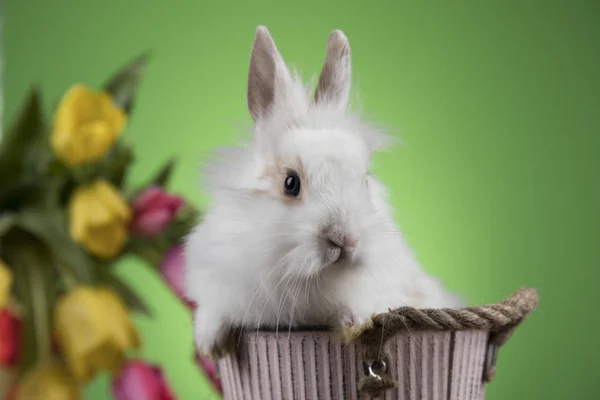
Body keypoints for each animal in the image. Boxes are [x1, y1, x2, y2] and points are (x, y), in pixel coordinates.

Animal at [185, 25, 462, 356]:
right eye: (290, 183)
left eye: (364, 180)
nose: (344, 239)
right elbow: (214, 310)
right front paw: (210, 343)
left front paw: (356, 322)